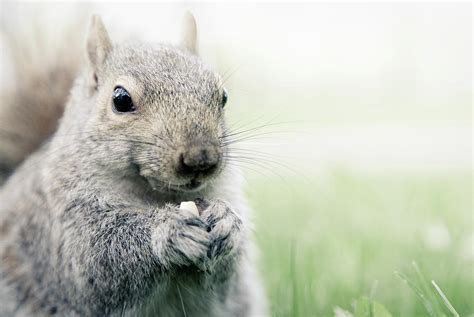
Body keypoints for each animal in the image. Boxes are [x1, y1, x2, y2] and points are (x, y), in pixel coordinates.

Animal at [0, 12, 266, 316]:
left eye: (223, 97)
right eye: (121, 99)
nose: (201, 158)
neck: (157, 195)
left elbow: (223, 286)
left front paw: (226, 222)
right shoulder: (63, 225)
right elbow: (95, 264)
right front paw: (168, 230)